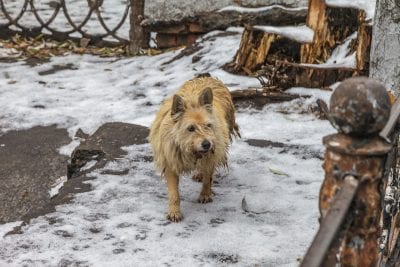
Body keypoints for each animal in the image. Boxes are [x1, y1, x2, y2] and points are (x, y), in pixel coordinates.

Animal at [148, 77, 239, 222]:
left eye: (208, 125)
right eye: (190, 128)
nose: (207, 144)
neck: (190, 150)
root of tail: (208, 77)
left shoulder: (211, 157)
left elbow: (208, 179)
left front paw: (205, 195)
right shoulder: (170, 163)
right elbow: (174, 193)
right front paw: (174, 211)